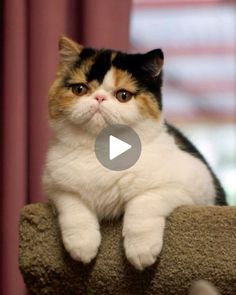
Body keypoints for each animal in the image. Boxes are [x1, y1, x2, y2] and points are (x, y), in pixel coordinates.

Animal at [42, 35, 227, 272]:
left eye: (123, 95)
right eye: (79, 89)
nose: (99, 98)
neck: (102, 150)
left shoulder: (196, 184)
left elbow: (143, 202)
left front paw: (141, 249)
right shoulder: (56, 186)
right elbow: (73, 206)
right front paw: (82, 244)